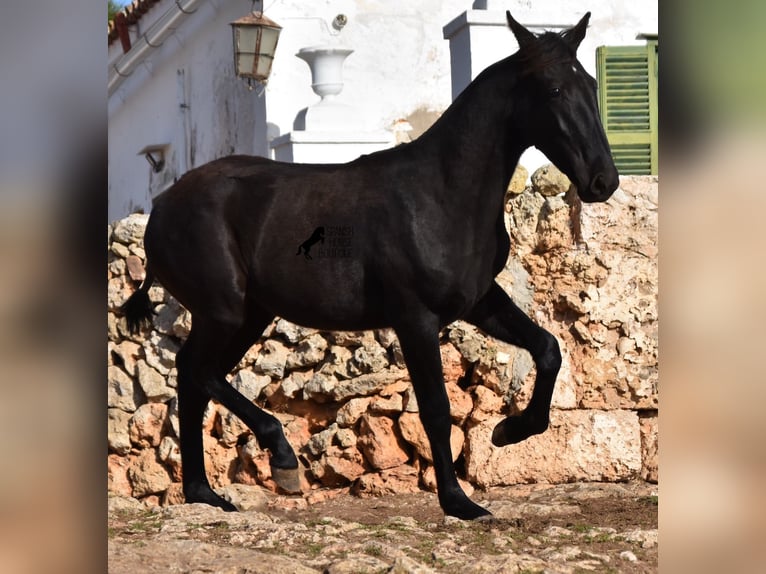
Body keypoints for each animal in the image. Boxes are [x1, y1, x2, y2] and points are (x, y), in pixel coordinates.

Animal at [123, 12, 620, 520]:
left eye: (592, 83)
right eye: (553, 89)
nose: (604, 180)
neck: (442, 193)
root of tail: (162, 207)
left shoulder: (479, 301)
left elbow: (548, 348)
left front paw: (509, 430)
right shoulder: (416, 318)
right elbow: (436, 407)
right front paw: (458, 501)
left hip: (248, 316)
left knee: (197, 380)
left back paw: (204, 493)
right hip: (223, 312)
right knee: (194, 370)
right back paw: (279, 458)